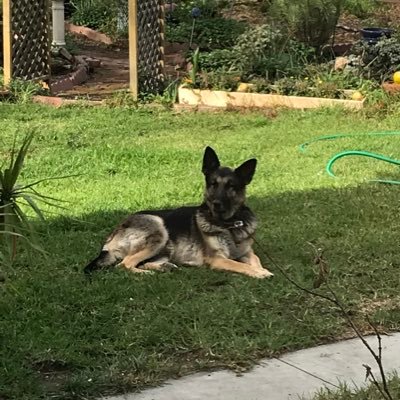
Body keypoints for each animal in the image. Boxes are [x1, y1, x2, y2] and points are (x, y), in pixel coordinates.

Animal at [83, 146, 274, 278]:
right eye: (213, 184)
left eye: (231, 186)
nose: (216, 204)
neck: (229, 224)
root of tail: (111, 238)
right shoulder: (218, 259)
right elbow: (242, 265)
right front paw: (260, 273)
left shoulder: (247, 252)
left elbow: (256, 260)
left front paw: (261, 269)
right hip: (158, 229)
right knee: (124, 264)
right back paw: (147, 274)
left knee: (140, 262)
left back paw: (163, 267)